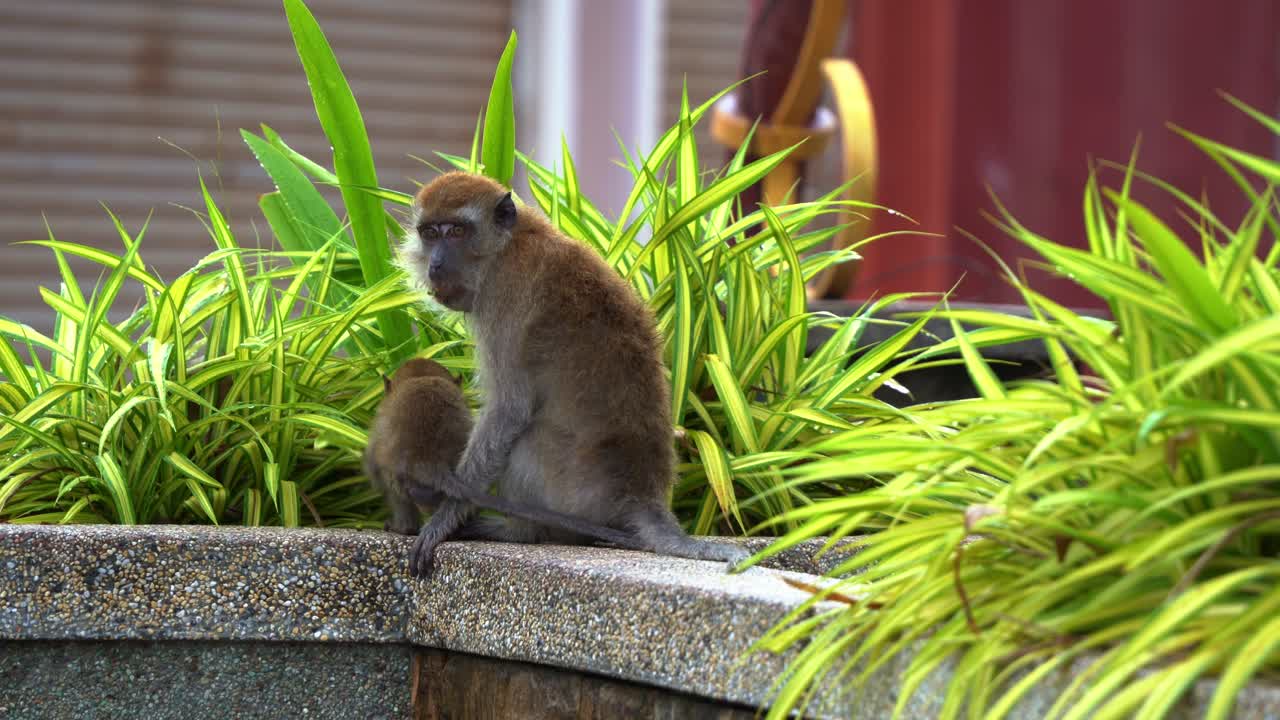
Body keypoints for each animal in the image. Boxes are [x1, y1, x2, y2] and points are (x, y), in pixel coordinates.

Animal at [398, 171, 751, 577]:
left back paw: (519, 532)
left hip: (570, 494)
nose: (436, 265)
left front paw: (444, 518)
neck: (512, 242)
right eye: (429, 233)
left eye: (456, 231)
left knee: (524, 439)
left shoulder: (502, 297)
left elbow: (508, 412)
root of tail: (642, 495)